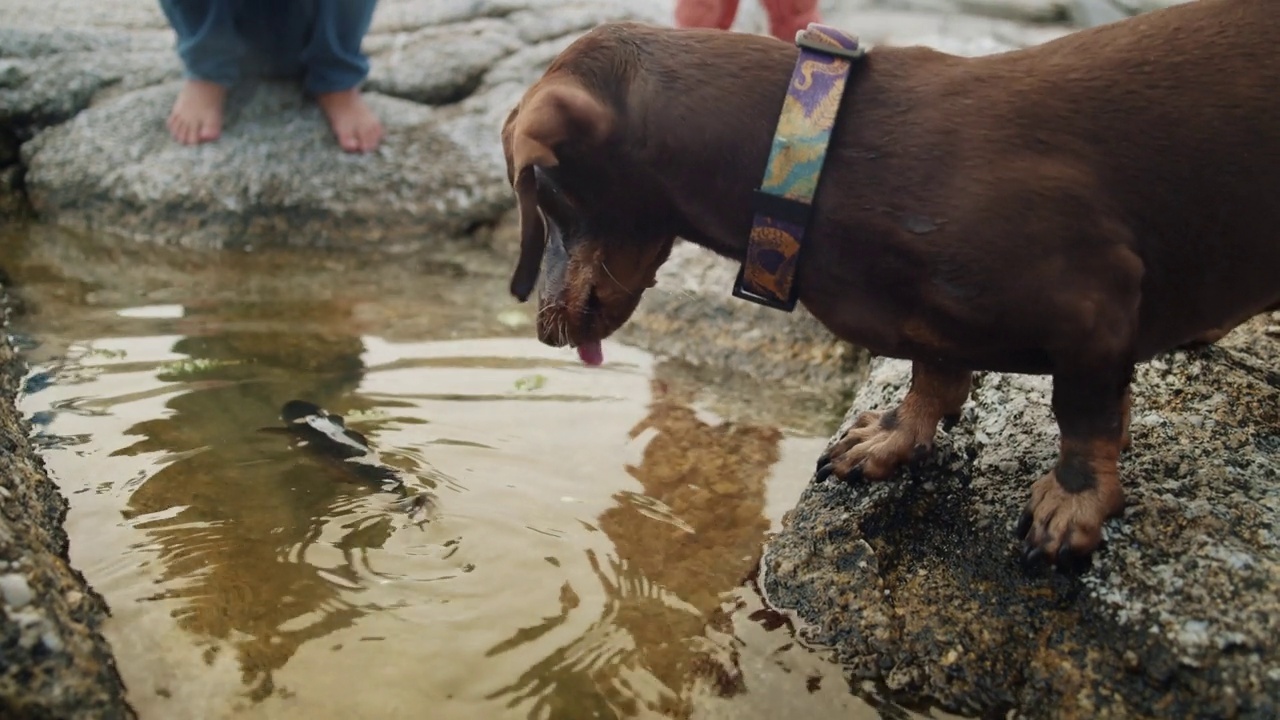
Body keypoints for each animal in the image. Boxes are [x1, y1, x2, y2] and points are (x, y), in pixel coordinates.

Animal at [499, 0, 1280, 566]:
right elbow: (931, 374)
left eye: (543, 196)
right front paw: (893, 437)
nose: (541, 329)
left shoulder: (1095, 304)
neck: (825, 157)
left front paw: (1075, 503)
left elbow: (1084, 420)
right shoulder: (933, 326)